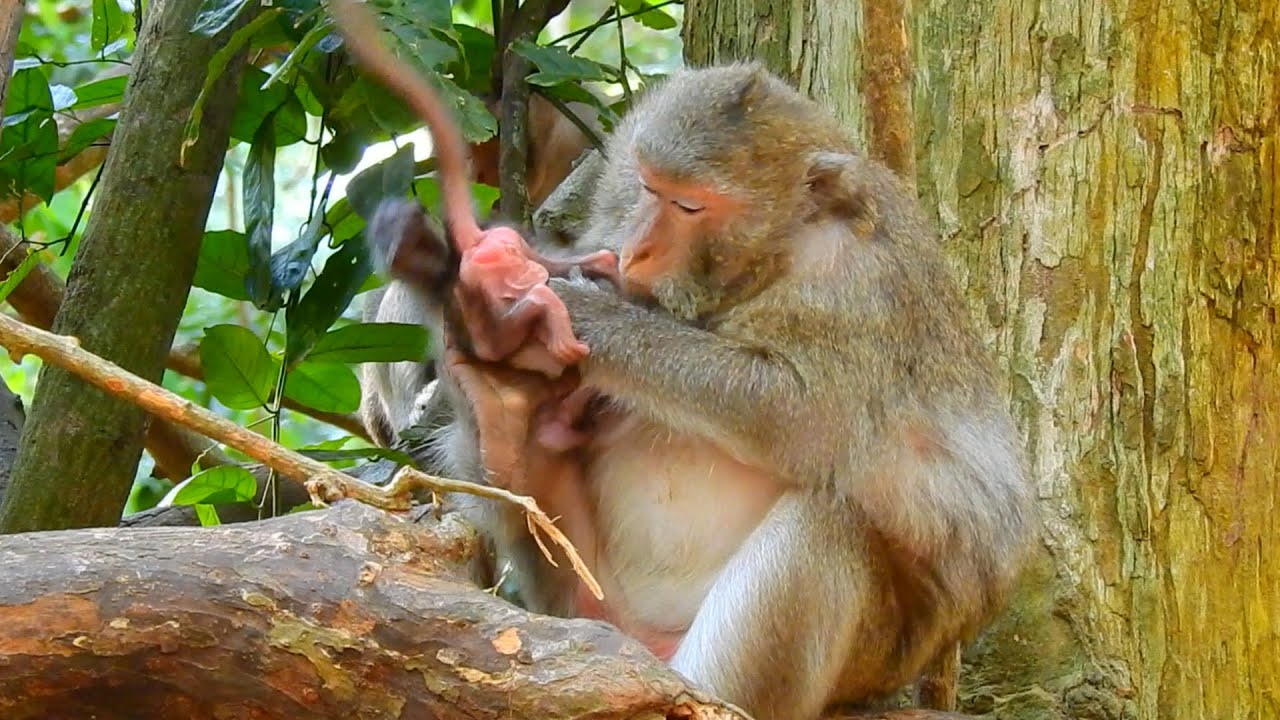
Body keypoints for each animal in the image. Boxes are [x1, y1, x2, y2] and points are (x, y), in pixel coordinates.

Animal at [430, 62, 1037, 720]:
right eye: (647, 186)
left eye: (690, 204)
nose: (637, 248)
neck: (774, 256)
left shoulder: (863, 286)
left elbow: (795, 415)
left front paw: (578, 309)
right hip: (584, 594)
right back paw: (504, 418)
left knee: (826, 525)